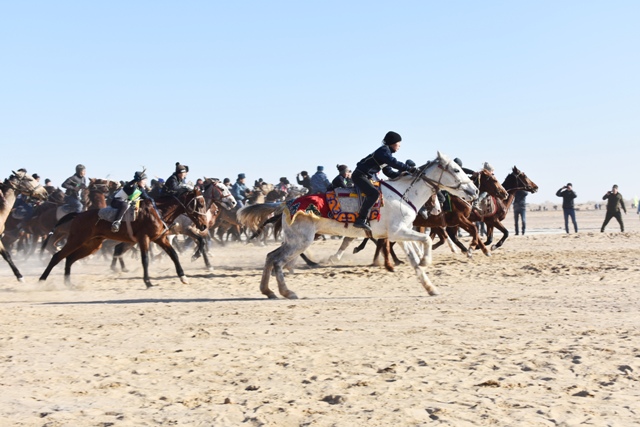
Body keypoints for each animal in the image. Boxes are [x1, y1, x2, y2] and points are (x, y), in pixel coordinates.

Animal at [39, 189, 208, 290]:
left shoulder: (160, 238)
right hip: (77, 240)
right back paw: (41, 280)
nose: (204, 225)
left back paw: (68, 283)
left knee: (70, 258)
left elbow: (174, 255)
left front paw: (183, 277)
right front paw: (148, 282)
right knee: (57, 256)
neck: (158, 211)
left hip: (92, 244)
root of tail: (78, 215)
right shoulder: (144, 239)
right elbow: (145, 259)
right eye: (200, 203)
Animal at [242, 152, 478, 300]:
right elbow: (427, 240)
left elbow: (415, 260)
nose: (474, 191)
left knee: (271, 257)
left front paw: (430, 287)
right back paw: (287, 292)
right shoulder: (398, 232)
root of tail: (286, 203)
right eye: (456, 169)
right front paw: (426, 261)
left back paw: (268, 291)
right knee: (278, 261)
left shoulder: (399, 235)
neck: (403, 195)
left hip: (292, 240)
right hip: (301, 240)